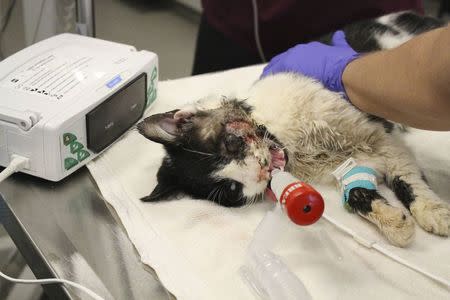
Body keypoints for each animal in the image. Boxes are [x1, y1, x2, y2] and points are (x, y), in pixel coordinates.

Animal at [135, 11, 448, 246]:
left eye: (230, 145)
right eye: (233, 190)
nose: (260, 172)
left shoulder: (383, 141)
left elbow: (409, 181)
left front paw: (433, 212)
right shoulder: (355, 162)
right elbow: (358, 193)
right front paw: (394, 223)